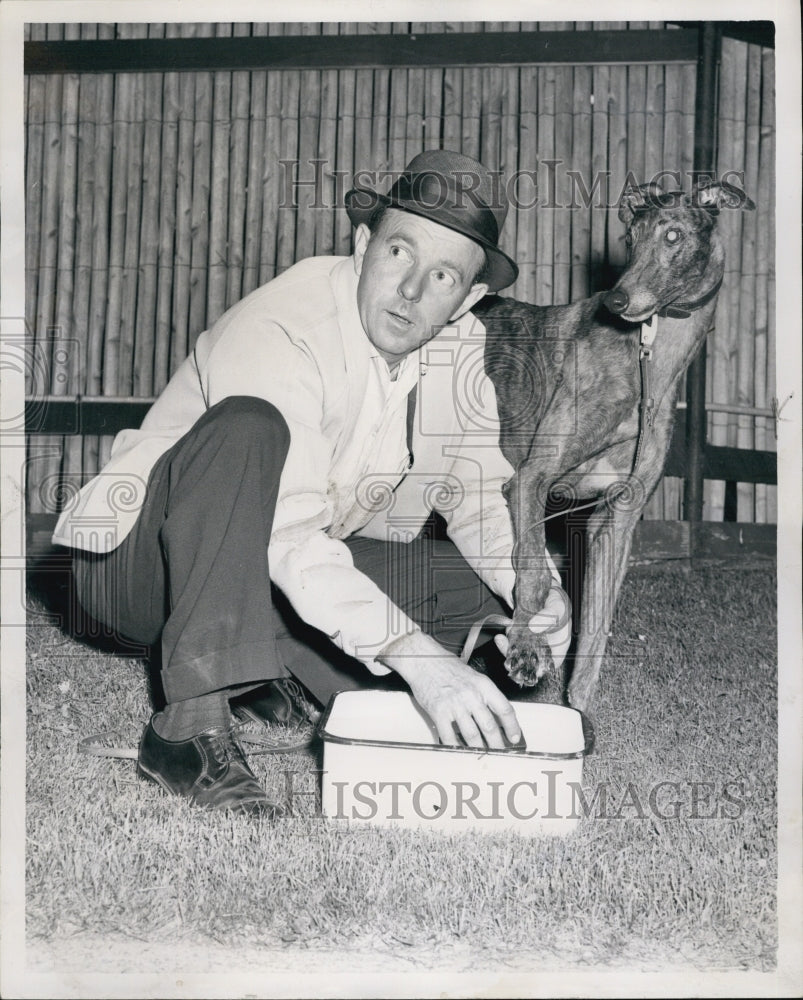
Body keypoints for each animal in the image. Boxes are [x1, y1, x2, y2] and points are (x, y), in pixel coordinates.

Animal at [474, 180, 756, 712]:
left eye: (673, 234)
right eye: (630, 237)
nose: (617, 301)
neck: (645, 363)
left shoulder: (616, 518)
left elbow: (595, 632)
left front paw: (576, 714)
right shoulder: (530, 479)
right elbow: (534, 575)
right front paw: (524, 646)